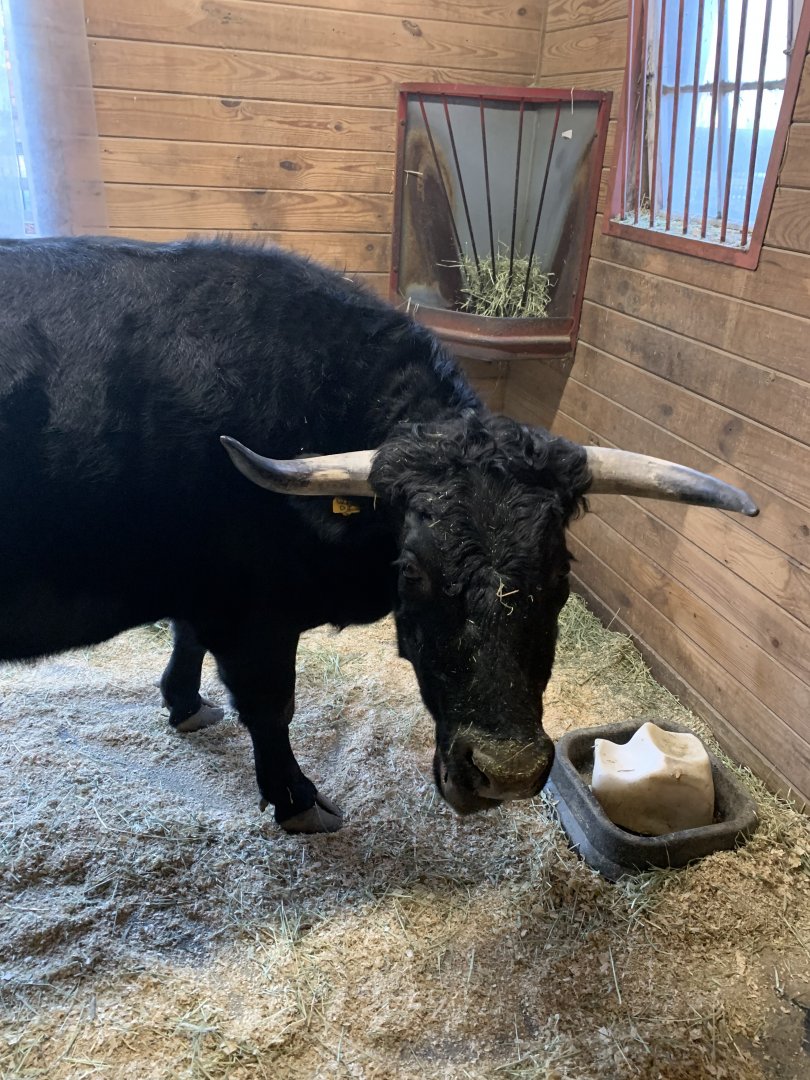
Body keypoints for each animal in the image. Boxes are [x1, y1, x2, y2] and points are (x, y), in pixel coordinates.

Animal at [0, 237, 757, 834]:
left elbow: (188, 645)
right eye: (414, 571)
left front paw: (185, 706)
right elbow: (271, 706)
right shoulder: (250, 617)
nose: (508, 772)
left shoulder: (203, 594)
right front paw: (298, 800)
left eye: (561, 575)